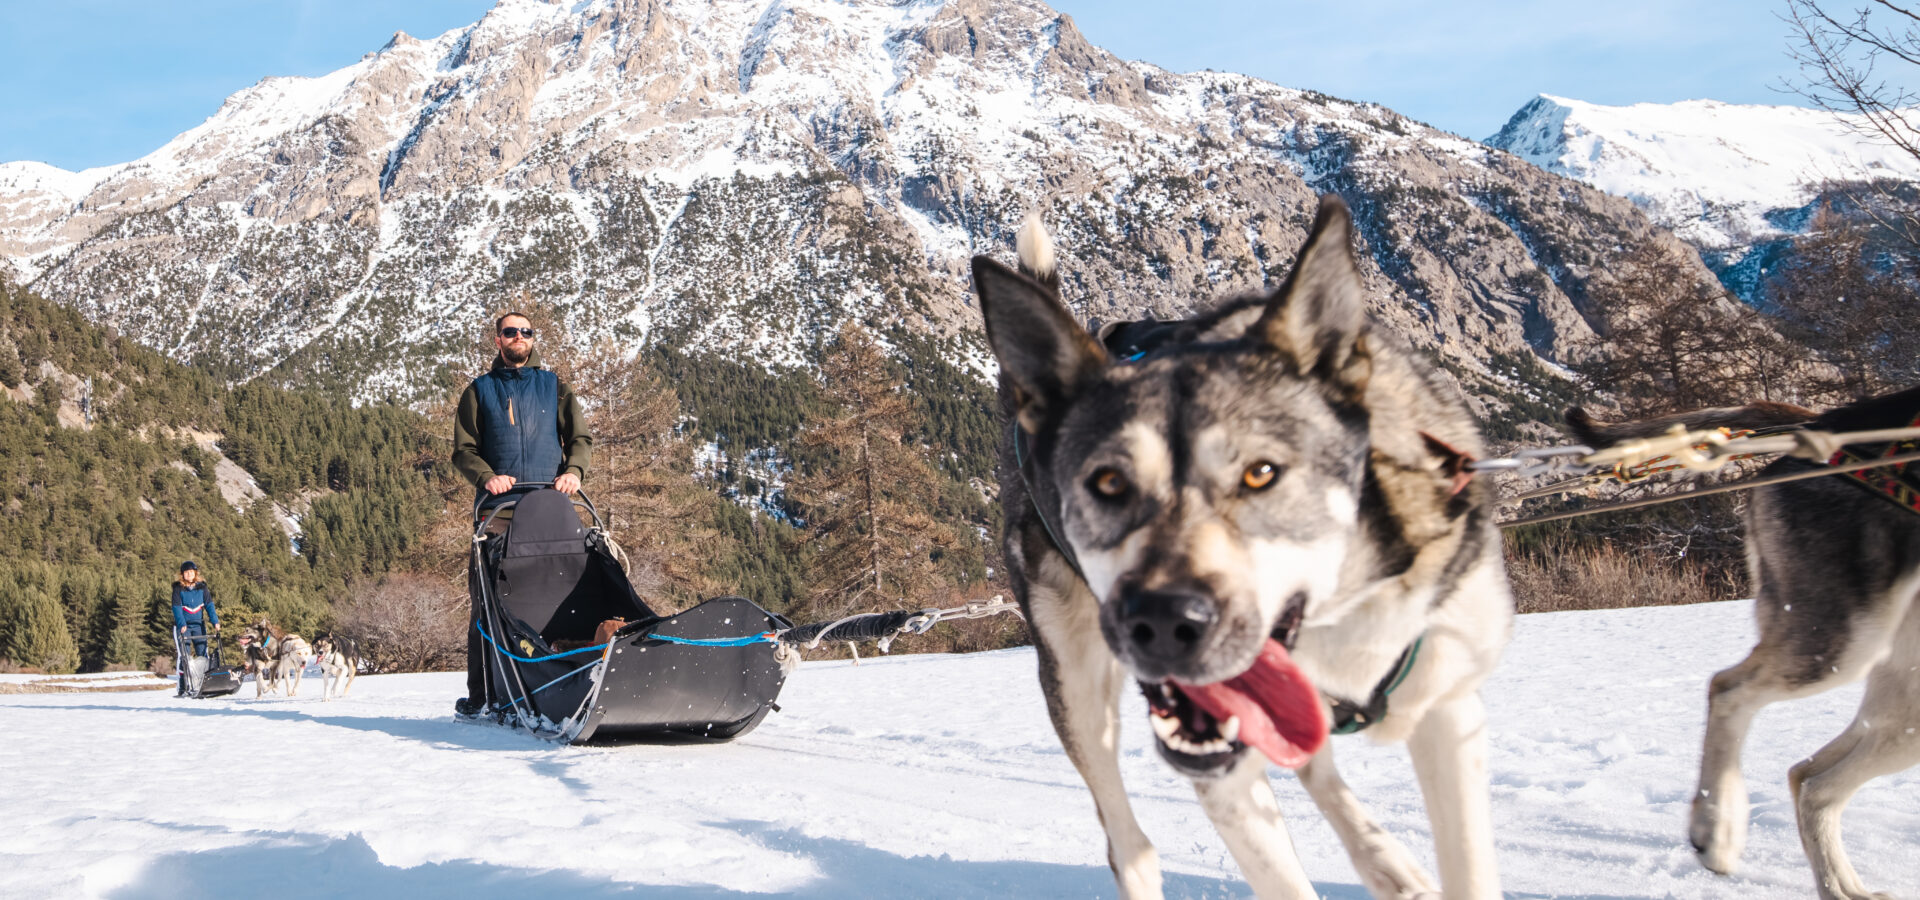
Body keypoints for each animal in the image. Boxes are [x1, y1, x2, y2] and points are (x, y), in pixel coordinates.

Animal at [975, 198, 1512, 898]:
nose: (1163, 624)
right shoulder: (1222, 778)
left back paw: (1384, 859)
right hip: (1073, 679)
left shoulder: (1449, 706)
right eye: (1108, 482)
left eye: (1261, 473)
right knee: (1131, 846)